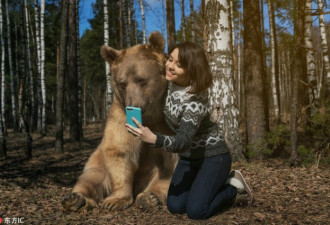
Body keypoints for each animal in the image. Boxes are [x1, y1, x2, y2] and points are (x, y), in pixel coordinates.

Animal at [62, 31, 178, 211]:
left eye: (142, 80)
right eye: (122, 83)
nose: (133, 105)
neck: (151, 115)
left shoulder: (166, 123)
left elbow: (170, 162)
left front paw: (151, 197)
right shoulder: (119, 115)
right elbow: (120, 149)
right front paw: (114, 201)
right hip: (98, 160)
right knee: (91, 177)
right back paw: (75, 198)